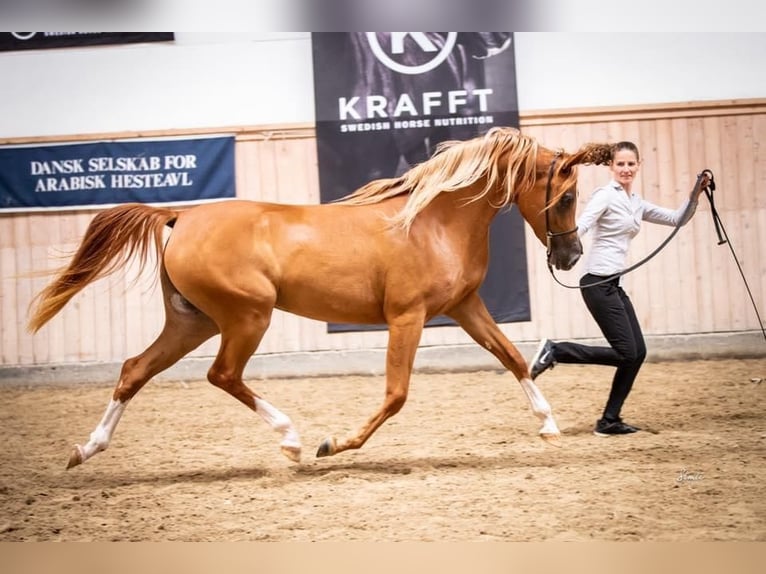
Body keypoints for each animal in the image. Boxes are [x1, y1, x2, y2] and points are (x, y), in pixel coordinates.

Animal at [28, 128, 612, 470]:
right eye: (566, 196)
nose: (570, 256)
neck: (432, 222)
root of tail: (181, 216)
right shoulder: (408, 317)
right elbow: (397, 394)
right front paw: (335, 444)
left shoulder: (464, 306)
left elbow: (513, 357)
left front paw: (549, 426)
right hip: (246, 316)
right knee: (222, 375)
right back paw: (291, 440)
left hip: (192, 321)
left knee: (134, 369)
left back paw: (85, 450)